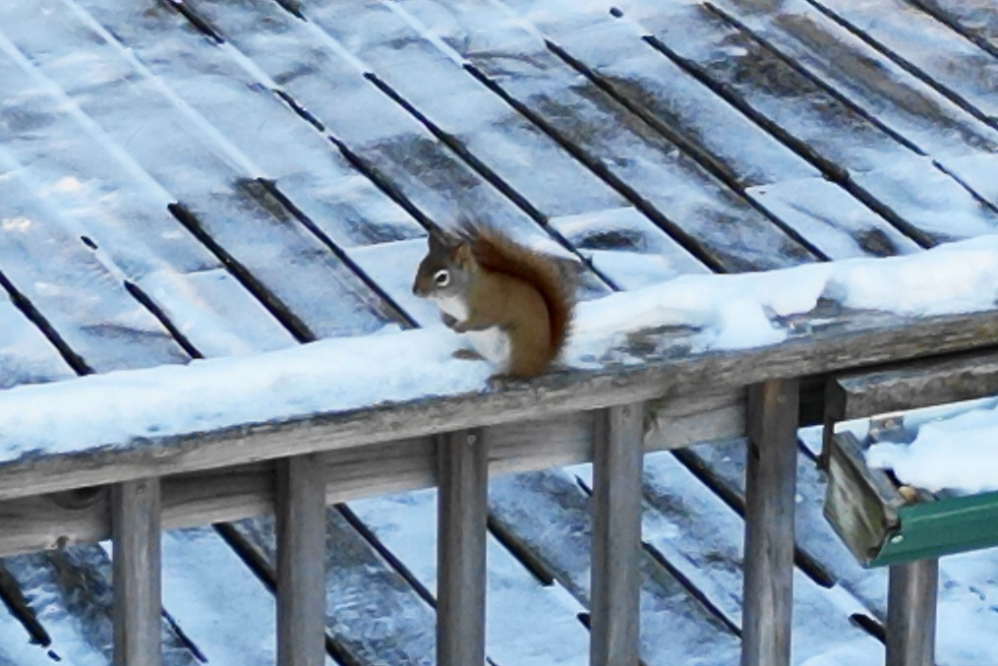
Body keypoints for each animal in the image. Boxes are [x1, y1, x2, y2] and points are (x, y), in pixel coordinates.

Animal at [411, 225, 575, 379]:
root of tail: (542, 362)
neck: (451, 298)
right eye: (420, 266)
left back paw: (503, 375)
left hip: (518, 348)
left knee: (518, 370)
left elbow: (483, 320)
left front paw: (461, 326)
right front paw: (449, 321)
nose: (416, 291)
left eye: (442, 277)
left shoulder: (489, 303)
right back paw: (469, 354)